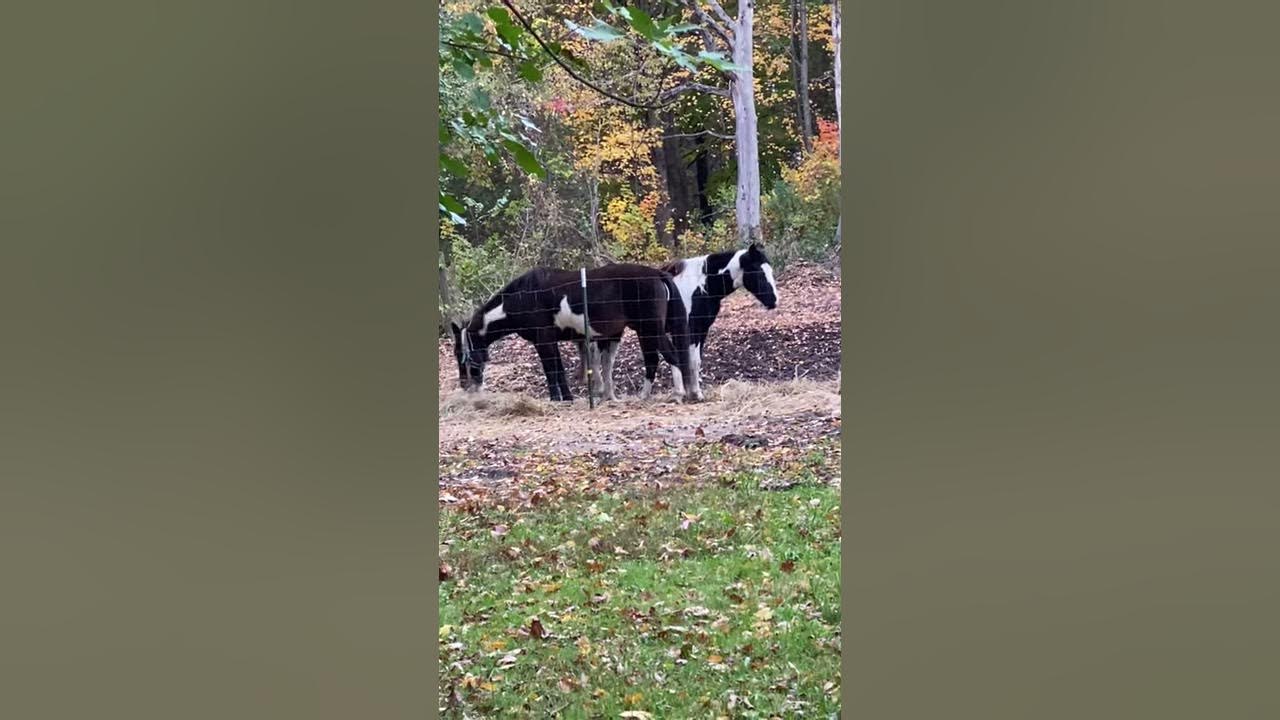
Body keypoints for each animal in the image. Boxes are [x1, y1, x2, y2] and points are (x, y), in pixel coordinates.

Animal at [450, 264, 696, 402]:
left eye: (461, 353)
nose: (466, 386)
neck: (522, 297)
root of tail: (657, 274)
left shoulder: (543, 342)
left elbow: (551, 370)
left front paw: (555, 399)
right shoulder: (551, 341)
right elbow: (559, 370)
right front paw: (567, 397)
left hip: (650, 329)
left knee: (670, 356)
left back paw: (679, 394)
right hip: (645, 332)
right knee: (654, 360)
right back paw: (646, 396)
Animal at [571, 244, 779, 401]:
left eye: (770, 270)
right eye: (758, 271)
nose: (774, 301)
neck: (700, 285)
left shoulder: (700, 330)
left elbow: (694, 360)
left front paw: (694, 392)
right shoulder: (683, 330)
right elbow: (678, 359)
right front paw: (684, 393)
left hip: (619, 332)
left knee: (605, 360)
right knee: (602, 359)